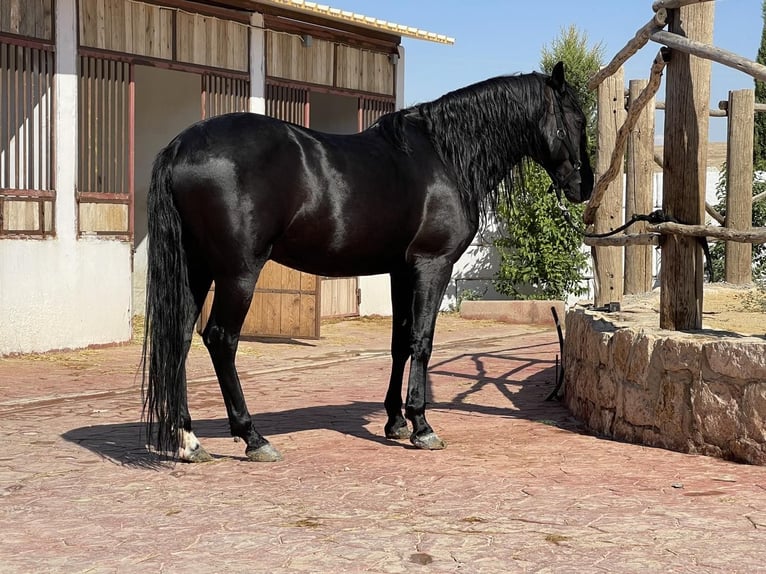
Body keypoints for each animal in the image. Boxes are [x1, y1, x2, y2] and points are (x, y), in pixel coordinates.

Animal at [142, 61, 594, 463]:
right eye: (576, 118)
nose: (584, 186)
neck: (445, 156)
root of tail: (181, 147)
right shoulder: (433, 266)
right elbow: (422, 342)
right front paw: (422, 426)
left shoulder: (401, 270)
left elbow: (399, 342)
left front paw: (396, 421)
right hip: (238, 272)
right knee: (221, 339)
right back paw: (253, 438)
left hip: (197, 268)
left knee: (179, 338)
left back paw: (188, 441)